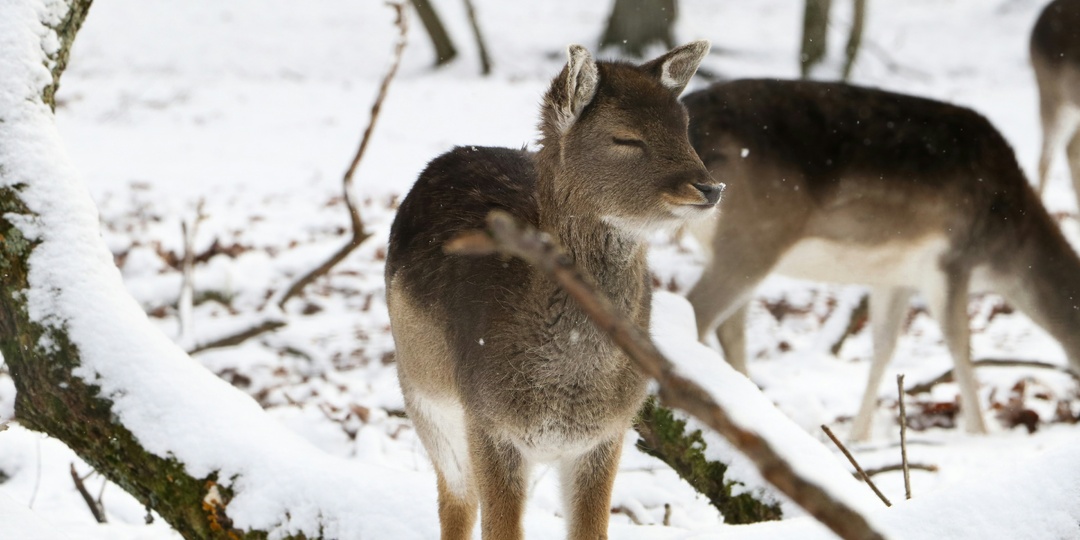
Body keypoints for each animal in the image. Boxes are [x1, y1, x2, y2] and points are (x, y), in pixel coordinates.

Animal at [388, 39, 717, 537]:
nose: (709, 187)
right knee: (455, 499)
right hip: (422, 397)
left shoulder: (607, 433)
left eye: (685, 128)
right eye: (626, 138)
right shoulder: (487, 423)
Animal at [682, 79, 1080, 442]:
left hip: (734, 248)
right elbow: (960, 345)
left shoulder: (897, 278)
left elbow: (884, 347)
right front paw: (981, 433)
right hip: (752, 238)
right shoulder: (952, 261)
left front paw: (859, 436)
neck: (1006, 251)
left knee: (729, 328)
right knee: (697, 310)